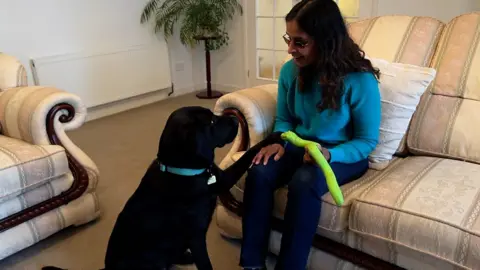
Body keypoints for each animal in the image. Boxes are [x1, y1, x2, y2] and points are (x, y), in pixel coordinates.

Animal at [43, 106, 280, 268]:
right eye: (212, 121)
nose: (235, 119)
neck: (181, 169)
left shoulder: (221, 179)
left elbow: (249, 153)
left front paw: (275, 136)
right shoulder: (196, 235)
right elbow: (206, 264)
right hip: (150, 259)